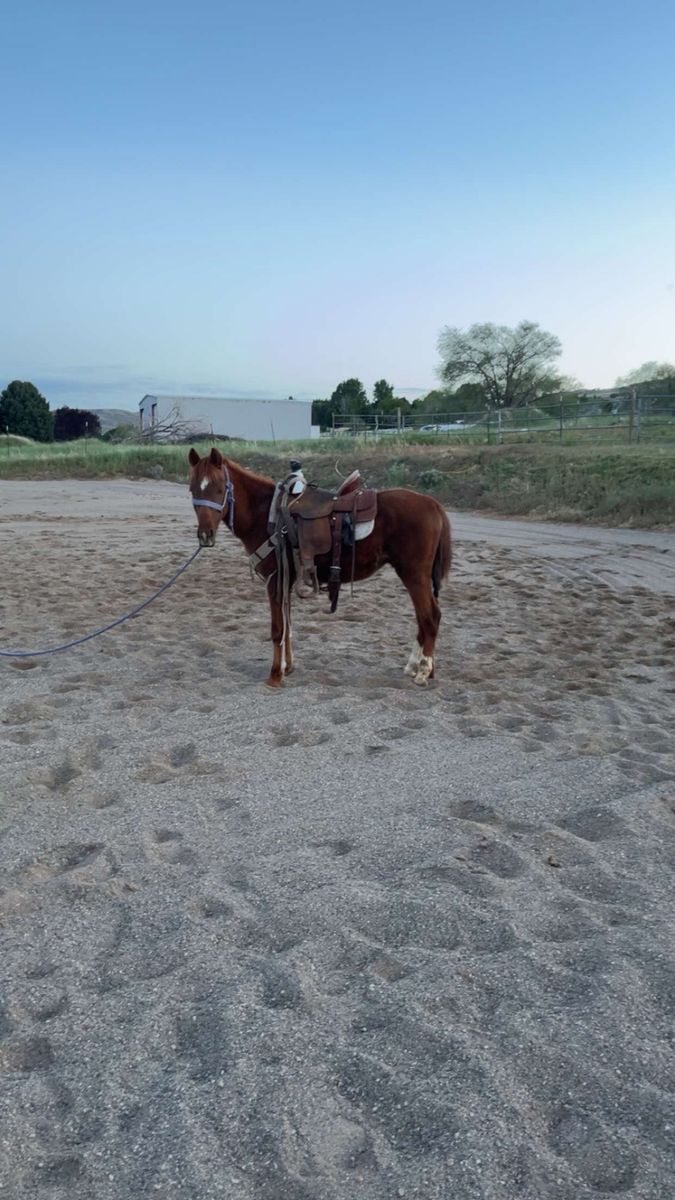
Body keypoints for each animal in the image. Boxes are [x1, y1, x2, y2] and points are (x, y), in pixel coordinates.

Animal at [187, 447, 451, 689]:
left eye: (219, 488)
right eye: (193, 489)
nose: (205, 535)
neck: (267, 516)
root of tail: (434, 504)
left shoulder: (275, 581)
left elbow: (277, 629)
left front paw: (275, 676)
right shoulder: (285, 582)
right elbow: (288, 627)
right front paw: (288, 667)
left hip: (414, 575)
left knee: (430, 617)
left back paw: (423, 671)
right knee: (423, 618)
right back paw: (416, 667)